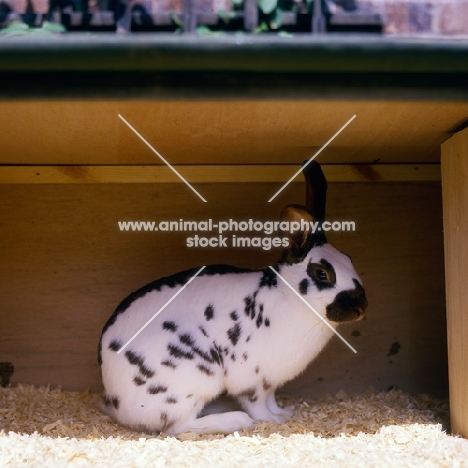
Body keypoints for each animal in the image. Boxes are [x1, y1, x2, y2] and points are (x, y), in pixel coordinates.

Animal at [98, 161, 368, 436]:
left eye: (349, 259)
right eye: (322, 273)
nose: (361, 308)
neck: (288, 297)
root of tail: (116, 403)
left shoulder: (270, 382)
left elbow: (271, 399)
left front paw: (283, 414)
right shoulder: (251, 380)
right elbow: (257, 405)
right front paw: (272, 421)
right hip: (194, 379)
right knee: (178, 427)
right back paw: (236, 420)